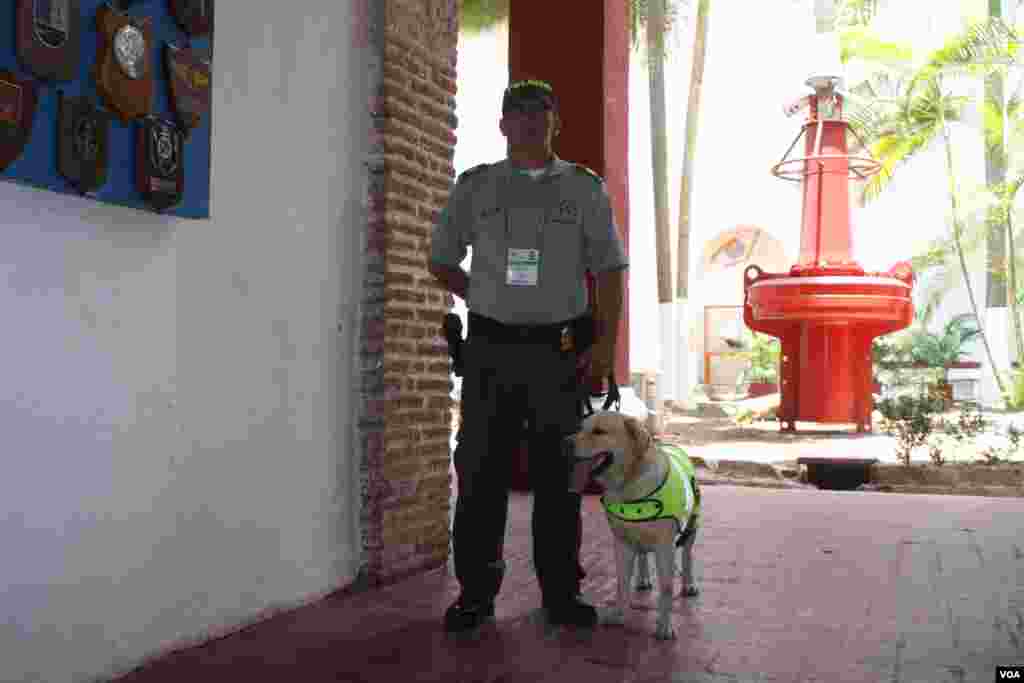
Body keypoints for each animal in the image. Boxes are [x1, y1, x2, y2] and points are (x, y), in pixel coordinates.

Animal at [569, 411, 704, 643]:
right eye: (580, 427)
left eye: (599, 431)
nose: (564, 443)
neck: (629, 485)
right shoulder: (621, 542)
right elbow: (622, 584)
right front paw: (619, 614)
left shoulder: (664, 547)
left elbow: (666, 588)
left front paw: (664, 626)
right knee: (642, 554)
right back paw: (642, 579)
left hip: (692, 526)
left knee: (687, 556)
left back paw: (688, 584)